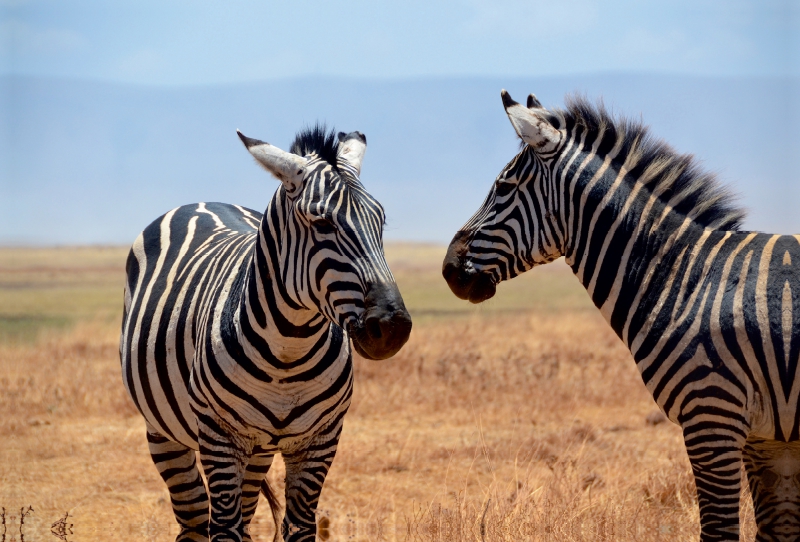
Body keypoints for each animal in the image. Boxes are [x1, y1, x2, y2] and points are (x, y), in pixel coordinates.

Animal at [122, 125, 416, 540]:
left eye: (381, 222)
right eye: (322, 224)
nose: (392, 327)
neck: (288, 353)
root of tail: (203, 202)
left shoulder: (321, 439)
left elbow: (299, 526)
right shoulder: (220, 436)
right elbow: (223, 529)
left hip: (258, 452)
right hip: (162, 431)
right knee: (194, 521)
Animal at [444, 91, 800, 540]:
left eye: (504, 188)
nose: (448, 269)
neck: (688, 277)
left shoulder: (712, 414)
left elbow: (719, 529)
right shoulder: (768, 437)